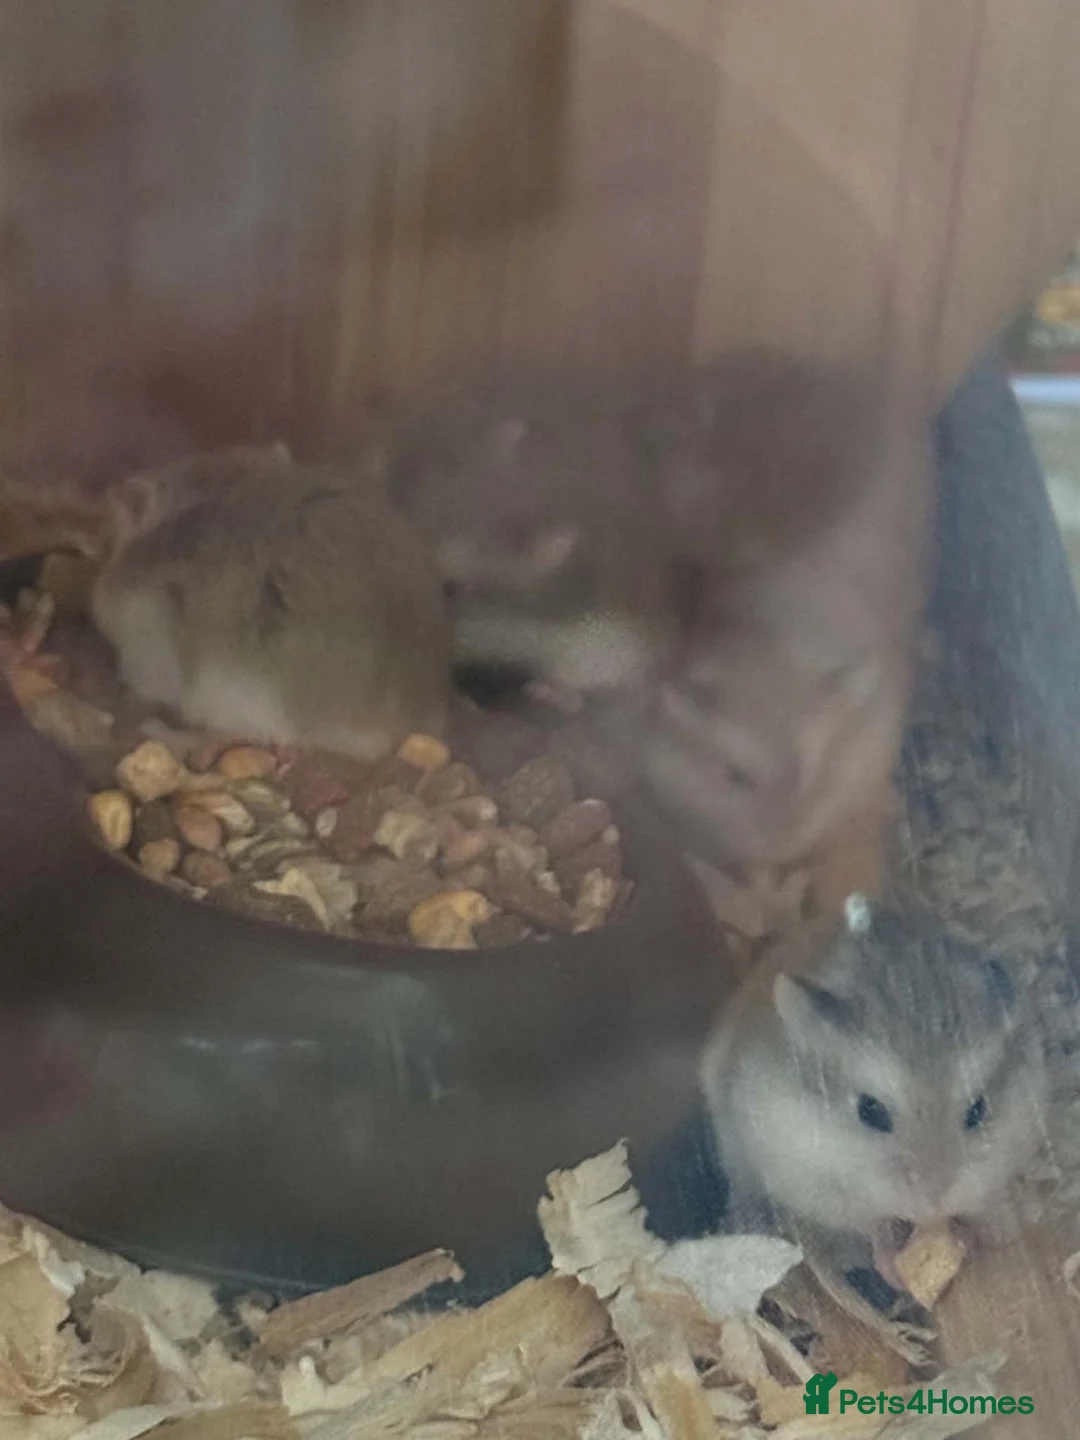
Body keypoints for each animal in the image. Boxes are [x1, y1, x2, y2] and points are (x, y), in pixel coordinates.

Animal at [701, 900, 1050, 1267]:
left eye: (978, 1111)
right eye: (870, 1112)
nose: (933, 1202)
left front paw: (1000, 1227)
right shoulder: (812, 1180)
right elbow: (870, 1223)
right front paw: (888, 1259)